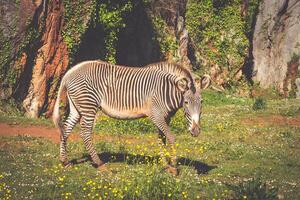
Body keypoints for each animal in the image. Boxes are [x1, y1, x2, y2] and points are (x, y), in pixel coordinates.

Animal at [52, 60, 211, 174]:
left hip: (77, 107)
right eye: (186, 102)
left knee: (66, 128)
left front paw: (166, 165)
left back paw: (64, 161)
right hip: (88, 105)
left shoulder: (165, 117)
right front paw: (173, 166)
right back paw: (100, 165)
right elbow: (171, 137)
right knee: (85, 133)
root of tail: (70, 72)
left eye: (202, 102)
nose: (196, 131)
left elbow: (162, 139)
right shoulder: (156, 115)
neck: (167, 91)